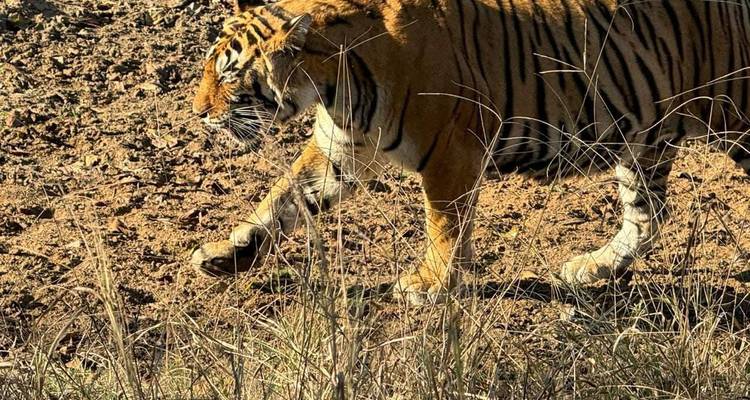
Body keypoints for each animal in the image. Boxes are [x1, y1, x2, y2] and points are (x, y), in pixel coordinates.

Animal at [190, 0, 750, 304]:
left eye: (230, 73)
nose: (197, 113)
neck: (332, 83)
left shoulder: (450, 151)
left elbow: (443, 222)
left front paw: (429, 283)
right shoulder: (342, 148)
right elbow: (283, 198)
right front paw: (224, 253)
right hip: (644, 139)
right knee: (649, 213)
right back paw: (591, 268)